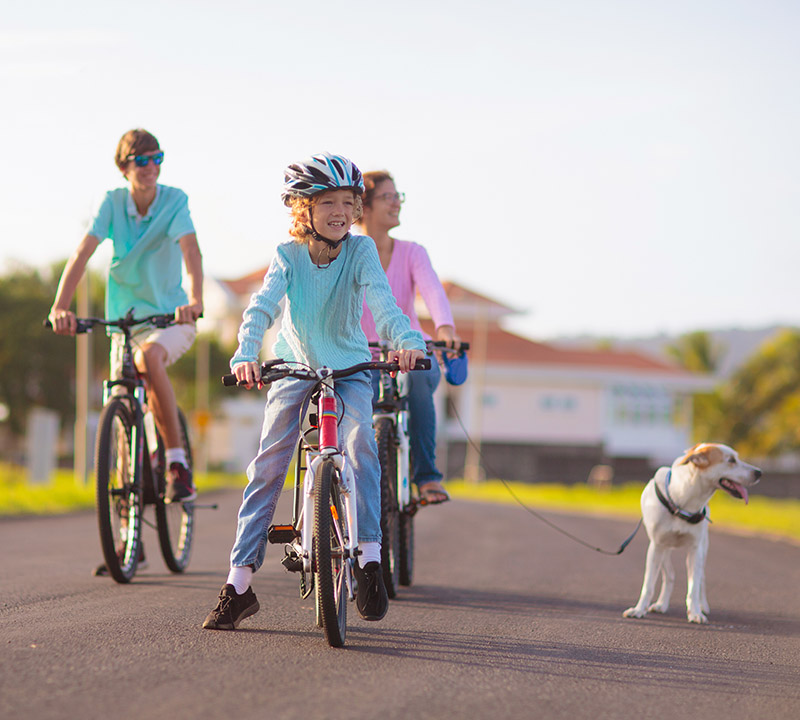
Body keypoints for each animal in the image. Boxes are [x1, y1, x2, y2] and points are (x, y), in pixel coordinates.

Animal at [620, 442, 760, 620]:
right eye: (731, 460)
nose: (759, 472)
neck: (683, 502)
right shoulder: (656, 547)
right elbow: (648, 585)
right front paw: (638, 610)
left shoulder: (695, 549)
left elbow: (694, 586)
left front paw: (695, 613)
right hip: (663, 549)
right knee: (670, 575)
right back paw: (661, 604)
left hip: (703, 548)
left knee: (701, 579)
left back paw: (702, 606)